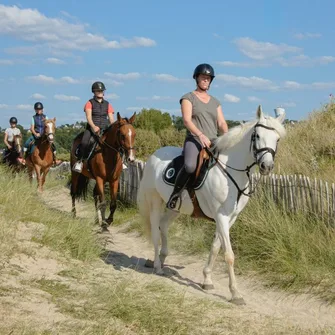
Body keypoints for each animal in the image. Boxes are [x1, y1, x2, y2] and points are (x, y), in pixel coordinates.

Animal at [138, 106, 288, 306]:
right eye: (256, 136)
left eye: (277, 139)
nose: (267, 166)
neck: (229, 170)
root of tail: (154, 155)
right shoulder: (221, 216)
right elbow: (229, 255)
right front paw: (235, 293)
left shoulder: (230, 217)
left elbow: (216, 247)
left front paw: (207, 279)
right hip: (155, 201)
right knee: (155, 231)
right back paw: (157, 266)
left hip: (174, 207)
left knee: (164, 225)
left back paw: (163, 258)